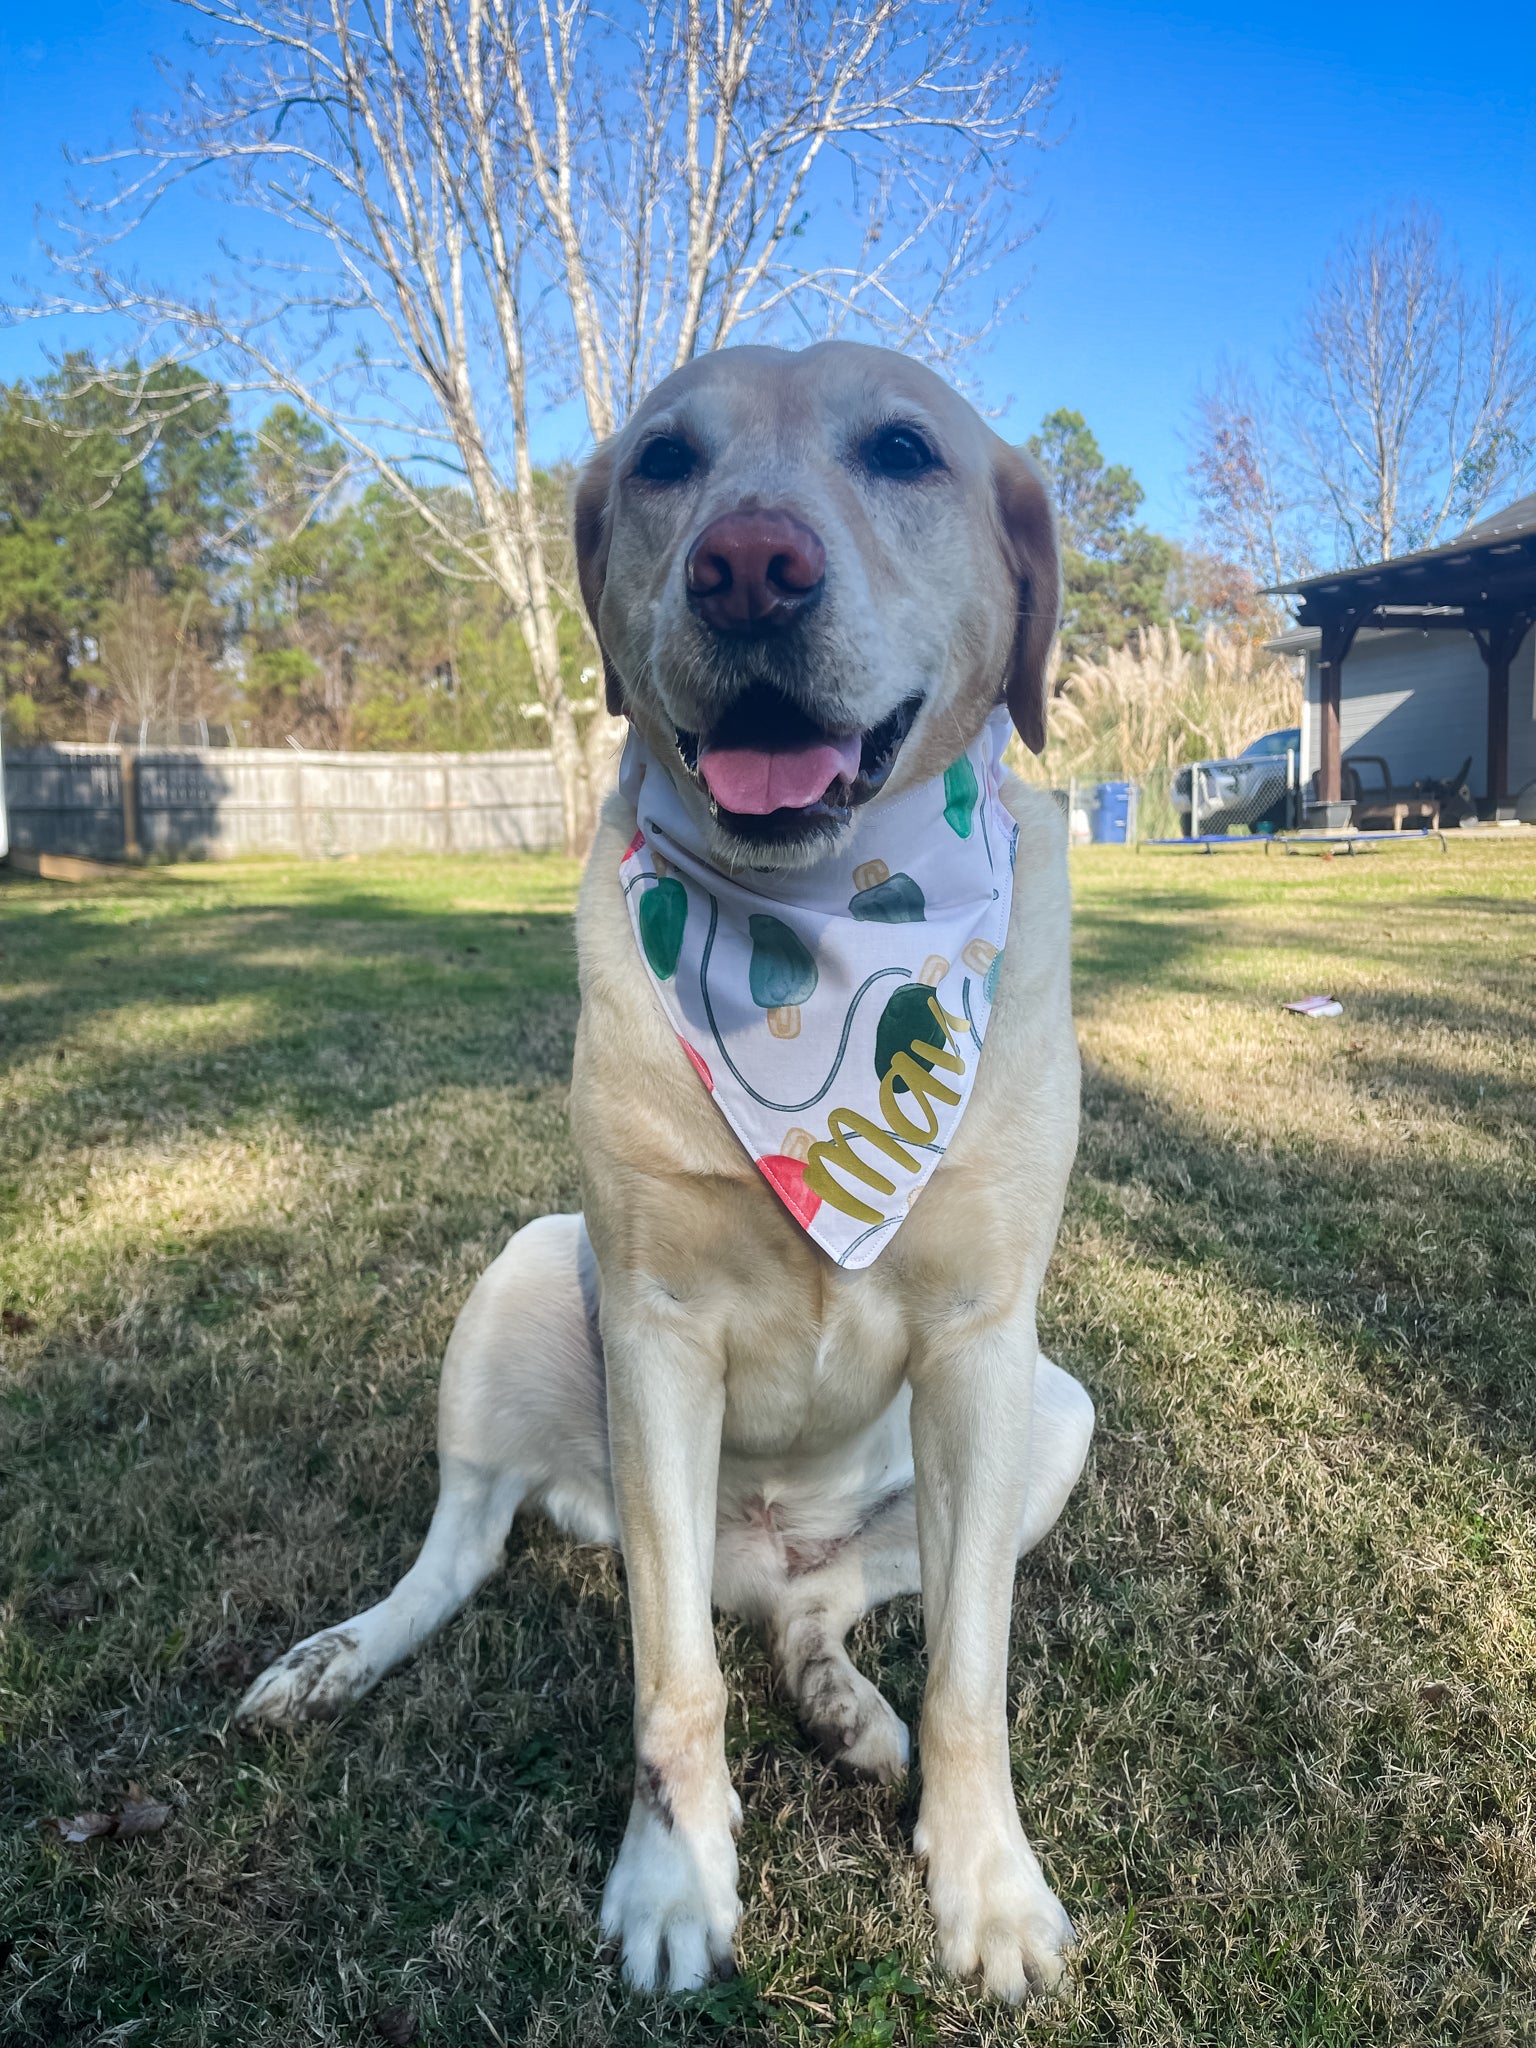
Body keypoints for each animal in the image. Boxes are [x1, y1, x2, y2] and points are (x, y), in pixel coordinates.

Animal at [240, 339, 1097, 1998]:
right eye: (663, 463)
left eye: (905, 450)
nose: (747, 566)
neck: (814, 934)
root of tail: (751, 1557)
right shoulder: (652, 1331)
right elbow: (670, 1688)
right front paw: (675, 1879)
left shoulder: (982, 1347)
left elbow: (970, 1671)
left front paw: (986, 1881)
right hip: (527, 1278)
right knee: (470, 1554)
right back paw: (340, 1655)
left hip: (1053, 1414)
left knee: (821, 1608)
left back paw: (843, 1700)